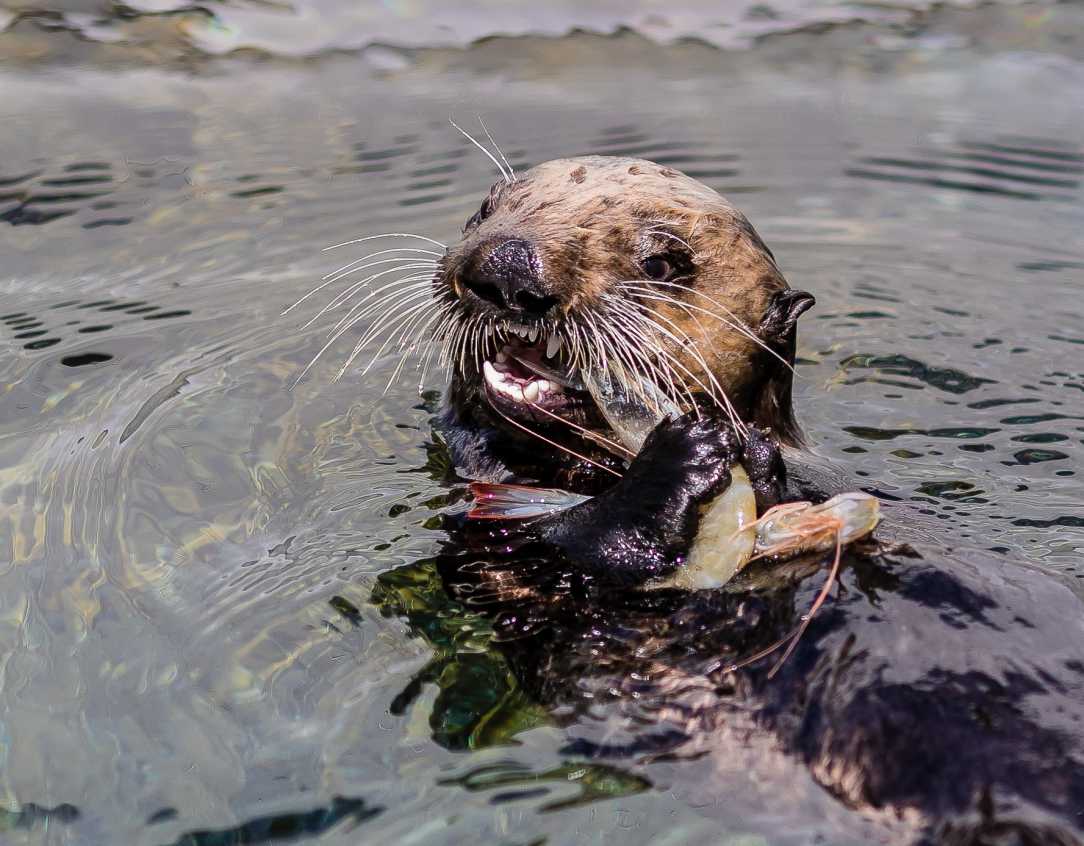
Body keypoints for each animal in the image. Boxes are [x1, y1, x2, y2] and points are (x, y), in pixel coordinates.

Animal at [355, 156, 1084, 844]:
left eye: (662, 263)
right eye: (486, 209)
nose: (506, 264)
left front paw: (746, 449)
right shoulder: (489, 549)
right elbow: (563, 547)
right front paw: (693, 451)